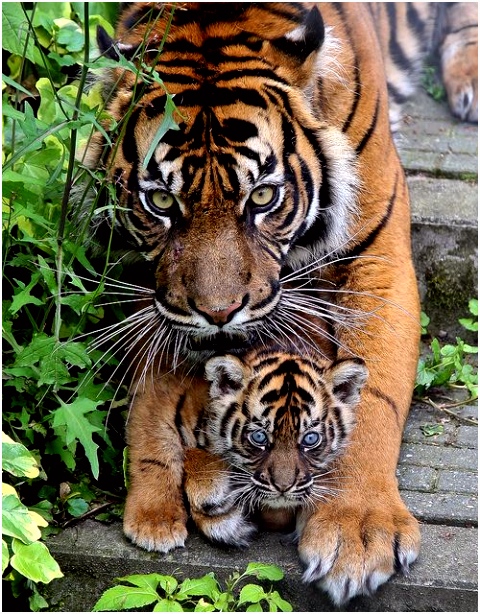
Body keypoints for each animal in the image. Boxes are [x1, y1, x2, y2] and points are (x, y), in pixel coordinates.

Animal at [85, 0, 428, 608]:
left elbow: (370, 397)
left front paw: (356, 530)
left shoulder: (378, 255)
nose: (219, 312)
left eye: (263, 196)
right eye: (161, 201)